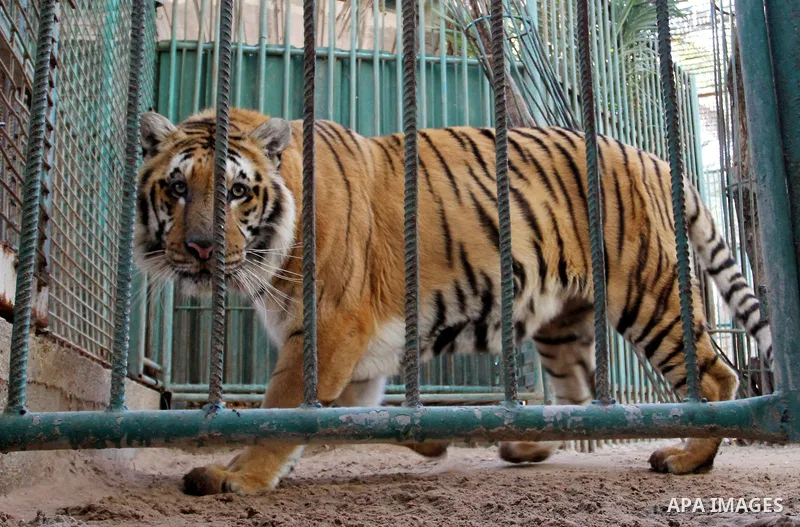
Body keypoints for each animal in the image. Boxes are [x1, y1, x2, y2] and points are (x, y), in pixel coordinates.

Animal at [135, 107, 772, 496]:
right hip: (562, 322)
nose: (199, 247)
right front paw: (429, 438)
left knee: (716, 377)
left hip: (649, 293)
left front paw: (238, 477)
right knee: (576, 393)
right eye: (177, 186)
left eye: (237, 192)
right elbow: (344, 418)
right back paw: (524, 447)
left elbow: (284, 413)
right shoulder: (355, 359)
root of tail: (657, 160)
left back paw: (688, 459)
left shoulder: (329, 329)